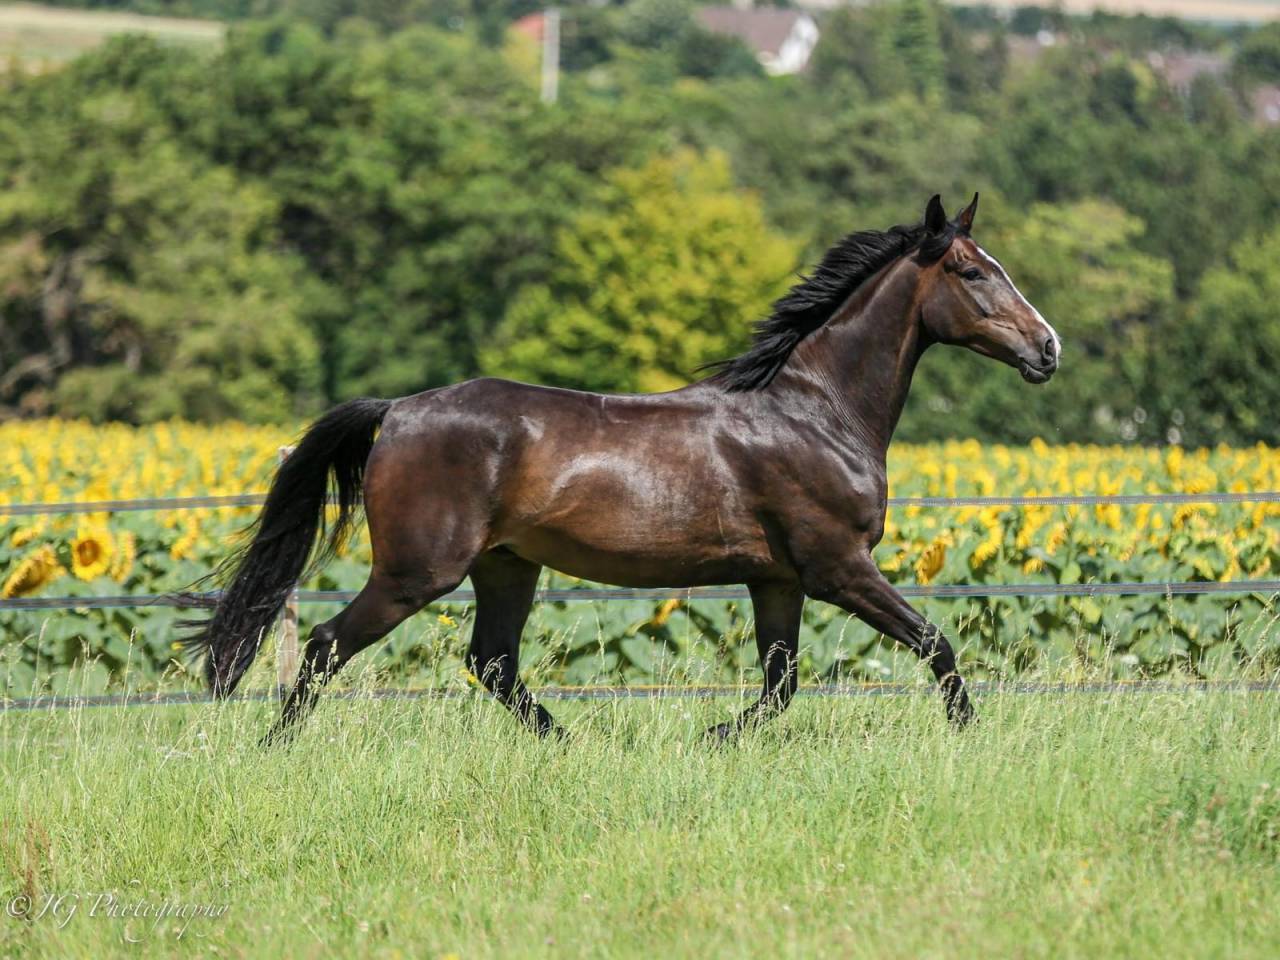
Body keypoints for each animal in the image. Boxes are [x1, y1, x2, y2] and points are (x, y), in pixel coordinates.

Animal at [187, 193, 1060, 744]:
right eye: (974, 272)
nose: (1047, 348)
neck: (814, 412)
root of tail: (397, 410)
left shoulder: (777, 578)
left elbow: (780, 684)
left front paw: (713, 737)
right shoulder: (837, 566)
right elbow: (935, 643)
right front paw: (970, 736)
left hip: (506, 566)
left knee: (492, 663)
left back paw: (568, 743)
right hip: (415, 573)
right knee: (326, 645)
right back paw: (275, 747)